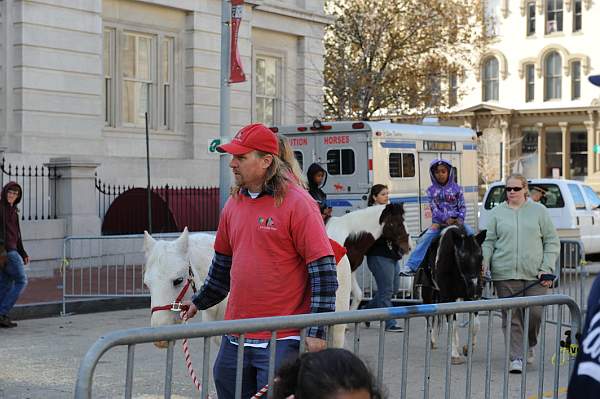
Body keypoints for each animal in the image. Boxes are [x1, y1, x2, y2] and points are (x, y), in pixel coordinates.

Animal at [418, 225, 488, 366]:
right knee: (430, 317)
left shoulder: (471, 298)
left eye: (481, 256)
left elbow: (475, 324)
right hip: (428, 293)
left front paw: (468, 348)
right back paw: (432, 341)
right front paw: (455, 355)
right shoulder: (447, 297)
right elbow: (452, 325)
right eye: (462, 257)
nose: (475, 288)